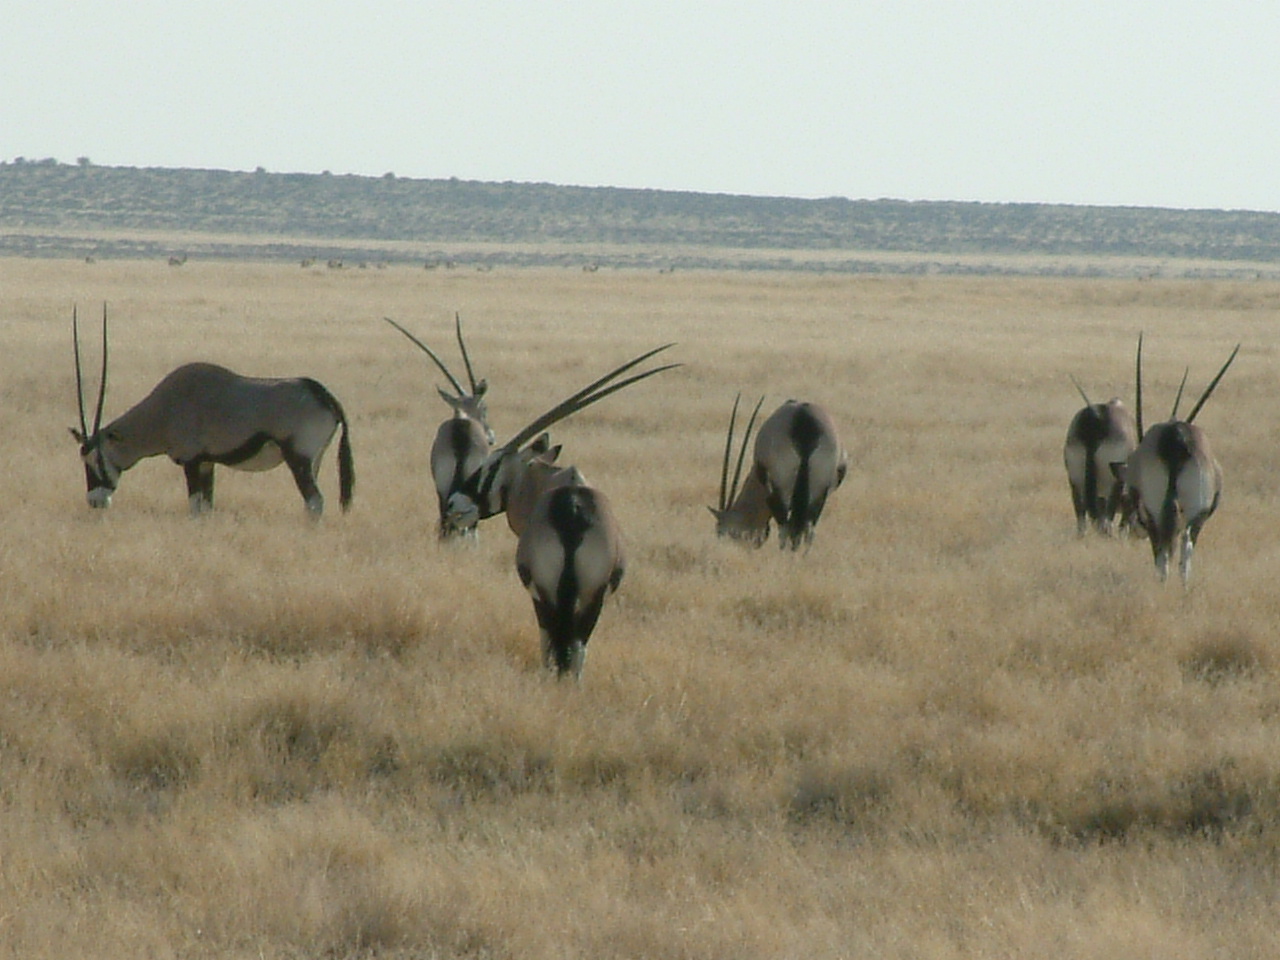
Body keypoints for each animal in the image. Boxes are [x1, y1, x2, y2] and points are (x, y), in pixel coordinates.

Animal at [68, 308, 353, 519]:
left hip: (298, 459)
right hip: (314, 461)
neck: (164, 410)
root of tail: (326, 397)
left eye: (95, 460)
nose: (95, 501)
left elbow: (195, 507)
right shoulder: (207, 463)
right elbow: (207, 508)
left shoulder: (192, 462)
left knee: (314, 501)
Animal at [711, 396, 849, 547]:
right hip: (818, 494)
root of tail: (804, 420)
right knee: (807, 533)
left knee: (785, 531)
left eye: (727, 531)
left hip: (783, 493)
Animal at [1111, 335, 1239, 583]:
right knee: (1184, 551)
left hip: (1158, 515)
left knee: (1164, 554)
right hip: (1194, 515)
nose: (1134, 531)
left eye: (1128, 495)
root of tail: (1177, 437)